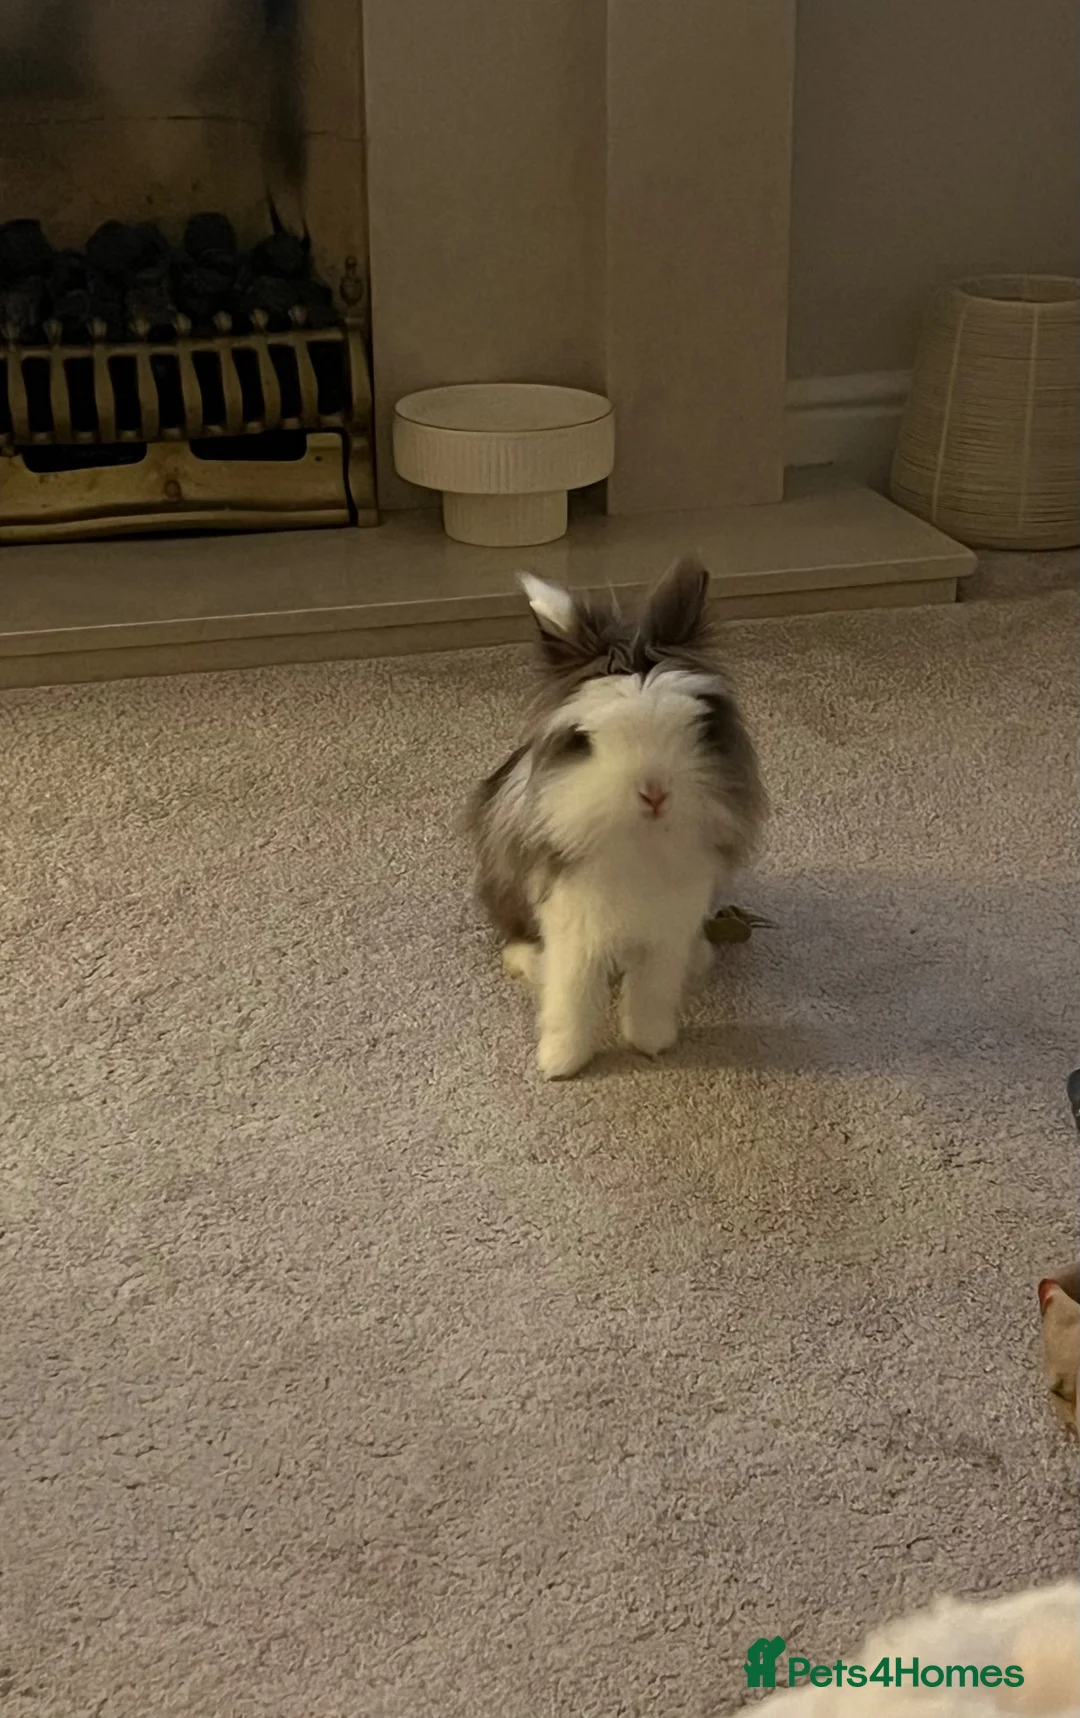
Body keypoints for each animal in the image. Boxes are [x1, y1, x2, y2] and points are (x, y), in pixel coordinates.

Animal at [467, 554, 766, 1079]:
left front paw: (650, 1044)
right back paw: (528, 963)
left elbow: (651, 992)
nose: (654, 793)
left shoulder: (668, 929)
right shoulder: (573, 927)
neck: (639, 840)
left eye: (698, 726)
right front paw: (560, 1065)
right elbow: (571, 997)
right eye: (585, 739)